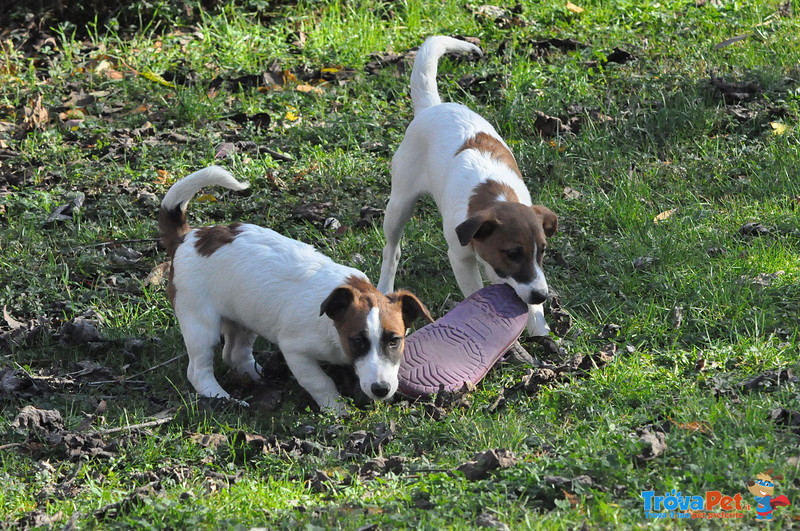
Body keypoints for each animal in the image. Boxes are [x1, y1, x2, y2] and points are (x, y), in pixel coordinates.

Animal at [157, 164, 432, 414]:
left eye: (394, 340)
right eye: (357, 341)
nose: (381, 389)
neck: (333, 331)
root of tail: (187, 238)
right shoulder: (296, 351)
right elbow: (320, 382)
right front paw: (337, 409)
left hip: (244, 315)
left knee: (235, 354)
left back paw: (260, 377)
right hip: (199, 322)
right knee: (198, 370)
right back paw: (223, 398)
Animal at [378, 36, 560, 336]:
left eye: (543, 251)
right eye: (513, 253)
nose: (541, 296)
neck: (496, 196)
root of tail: (433, 107)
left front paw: (539, 327)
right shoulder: (460, 257)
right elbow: (475, 291)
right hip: (399, 204)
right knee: (391, 251)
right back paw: (384, 286)